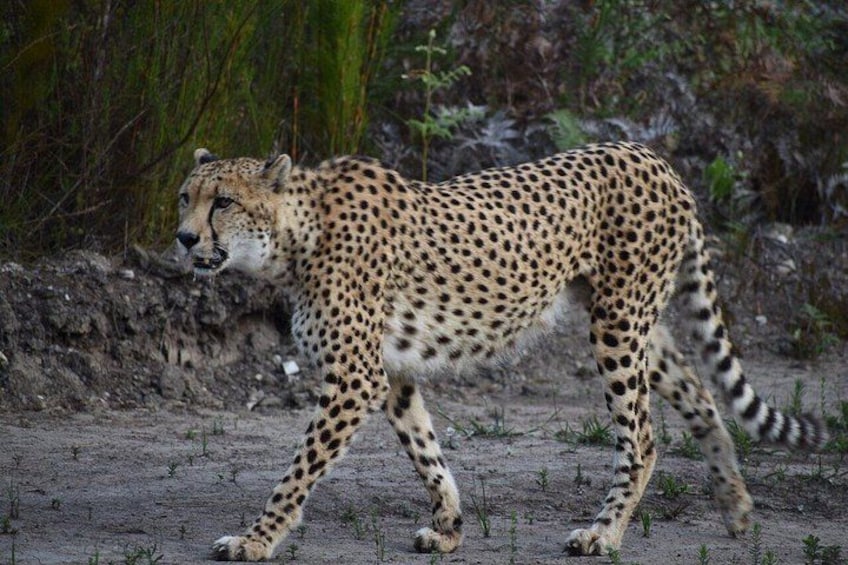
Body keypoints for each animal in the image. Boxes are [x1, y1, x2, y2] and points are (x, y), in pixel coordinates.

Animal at [174, 142, 826, 560]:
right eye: (185, 197)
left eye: (223, 202)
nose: (182, 238)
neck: (295, 236)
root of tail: (653, 157)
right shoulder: (391, 373)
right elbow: (426, 451)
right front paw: (449, 528)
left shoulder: (355, 377)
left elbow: (298, 471)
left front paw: (256, 539)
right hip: (631, 320)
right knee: (699, 393)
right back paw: (735, 506)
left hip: (618, 324)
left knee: (641, 436)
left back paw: (604, 535)